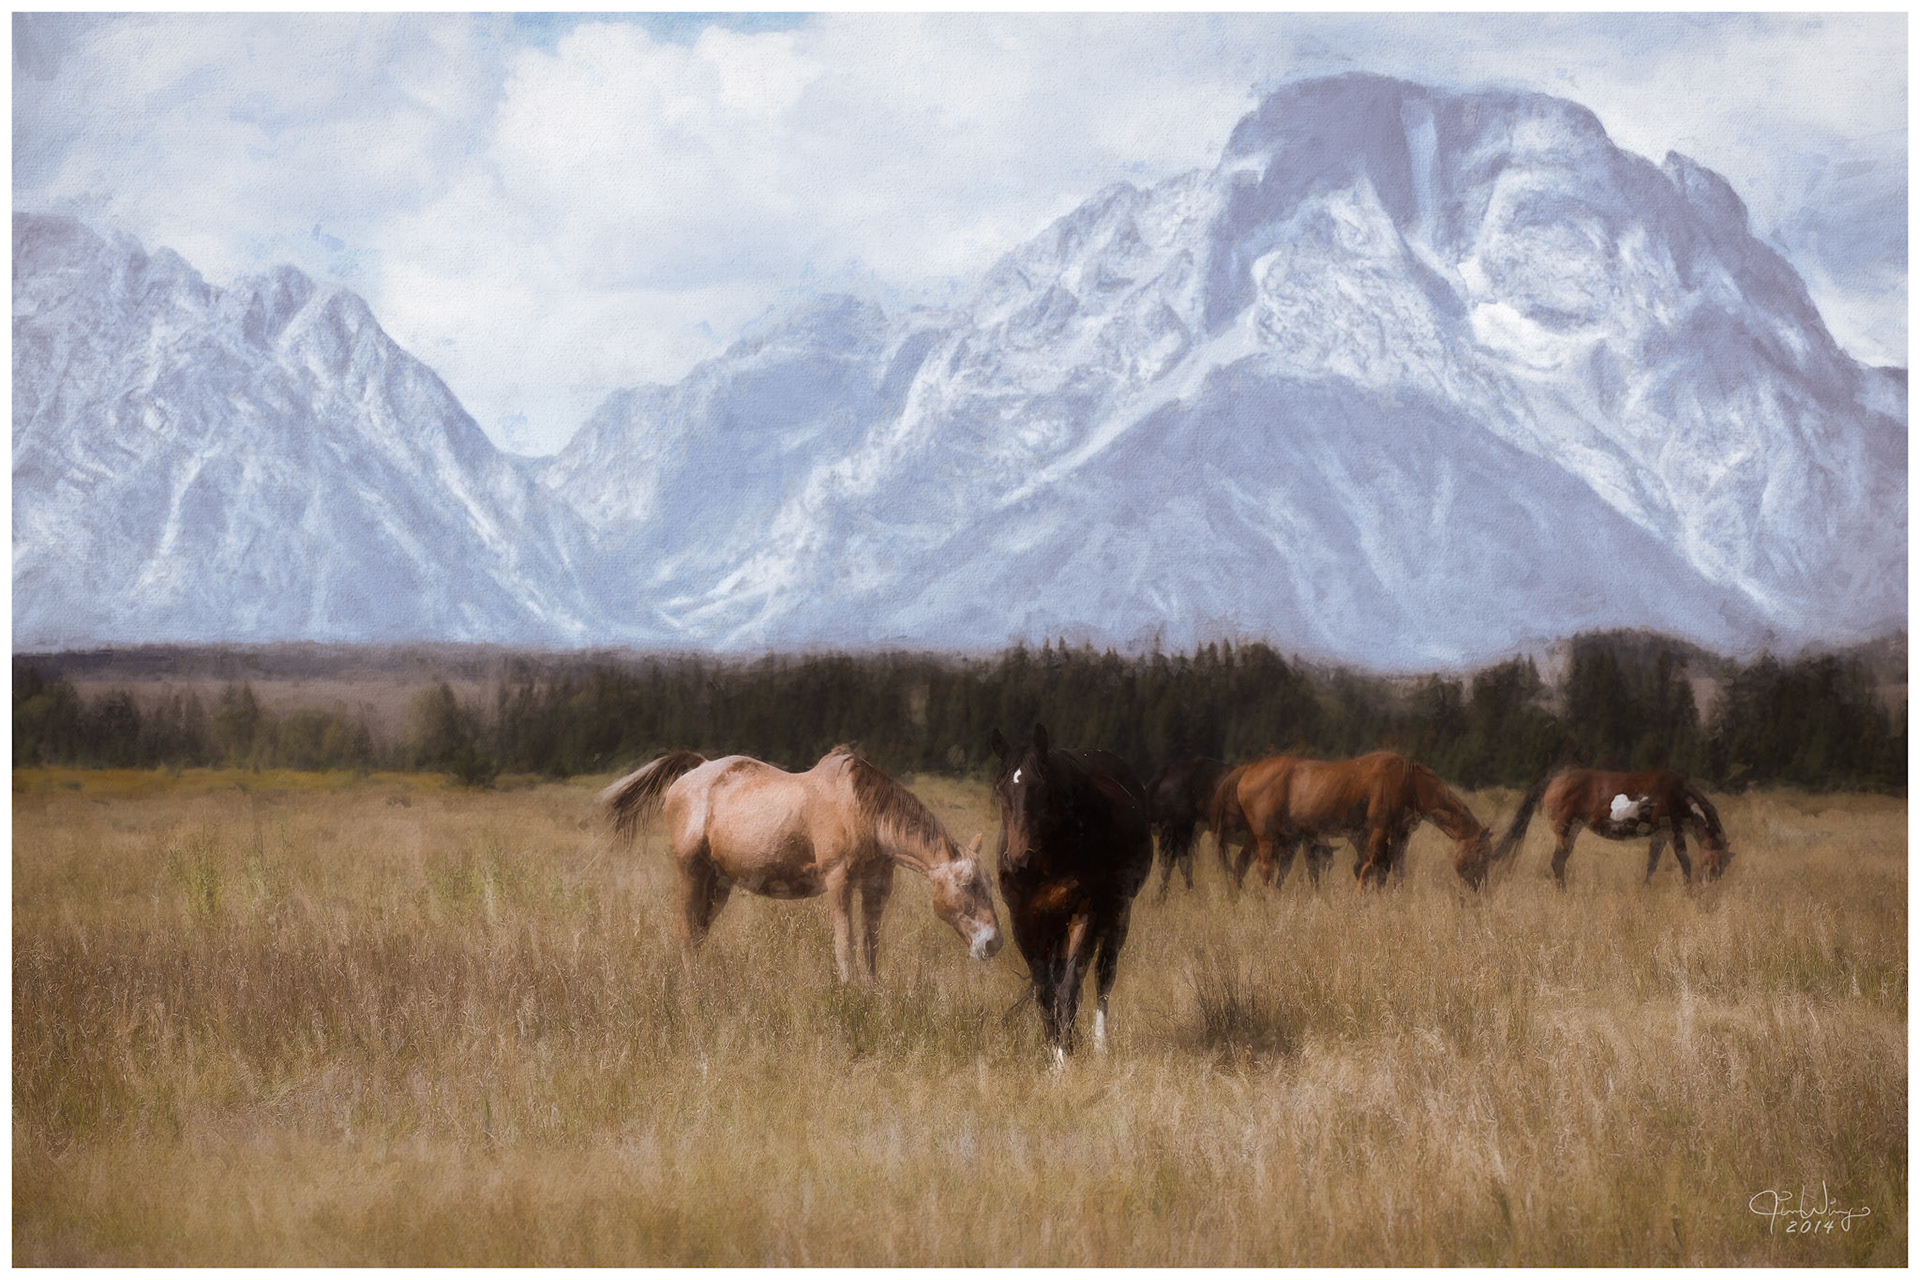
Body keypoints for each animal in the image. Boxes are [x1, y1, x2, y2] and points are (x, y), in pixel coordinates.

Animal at [601, 746, 1003, 984]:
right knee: (687, 934)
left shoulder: (877, 884)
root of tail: (696, 770)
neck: (859, 809)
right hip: (691, 873)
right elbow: (845, 943)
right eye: (967, 885)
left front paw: (873, 992)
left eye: (988, 884)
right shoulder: (839, 880)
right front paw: (849, 994)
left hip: (719, 884)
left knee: (698, 933)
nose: (994, 943)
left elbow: (870, 944)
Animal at [990, 724, 1153, 1064]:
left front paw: (1063, 1057)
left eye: (1040, 788)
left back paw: (1099, 1044)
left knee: (1103, 974)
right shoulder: (1024, 922)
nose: (1018, 859)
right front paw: (1055, 1052)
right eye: (1001, 790)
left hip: (1118, 913)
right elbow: (1045, 991)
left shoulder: (1085, 914)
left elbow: (1068, 987)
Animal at [1223, 751, 1493, 891]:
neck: (1408, 783)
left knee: (1242, 865)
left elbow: (1397, 870)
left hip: (1260, 838)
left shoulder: (1401, 835)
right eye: (1482, 854)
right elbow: (1369, 866)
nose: (1480, 888)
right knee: (1266, 870)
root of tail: (1248, 770)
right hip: (1267, 839)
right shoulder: (1377, 830)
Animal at [1492, 767, 1733, 888]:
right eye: (1715, 864)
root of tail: (1554, 780)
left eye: (1723, 865)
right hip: (1565, 832)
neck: (1679, 796)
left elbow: (1652, 865)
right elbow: (1685, 862)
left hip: (1573, 831)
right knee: (1557, 863)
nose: (1711, 886)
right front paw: (1689, 891)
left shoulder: (1661, 835)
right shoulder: (1674, 833)